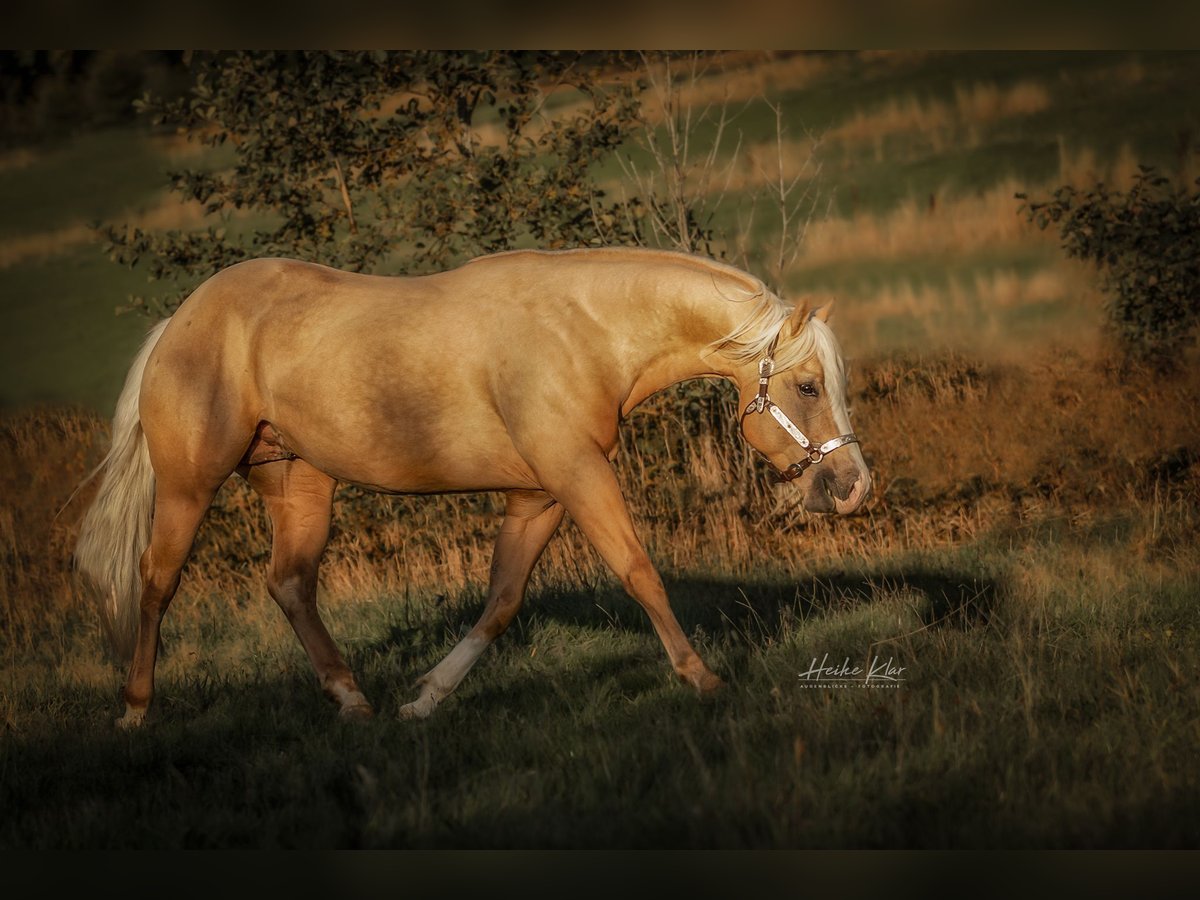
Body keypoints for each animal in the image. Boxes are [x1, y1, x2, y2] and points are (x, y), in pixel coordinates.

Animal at [75, 244, 868, 724]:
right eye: (806, 385)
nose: (853, 486)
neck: (583, 332)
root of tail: (180, 320)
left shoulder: (540, 496)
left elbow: (502, 601)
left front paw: (425, 699)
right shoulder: (577, 475)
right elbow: (638, 570)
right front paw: (702, 678)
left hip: (298, 484)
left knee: (289, 584)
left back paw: (353, 700)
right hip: (190, 485)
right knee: (155, 579)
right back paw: (136, 708)